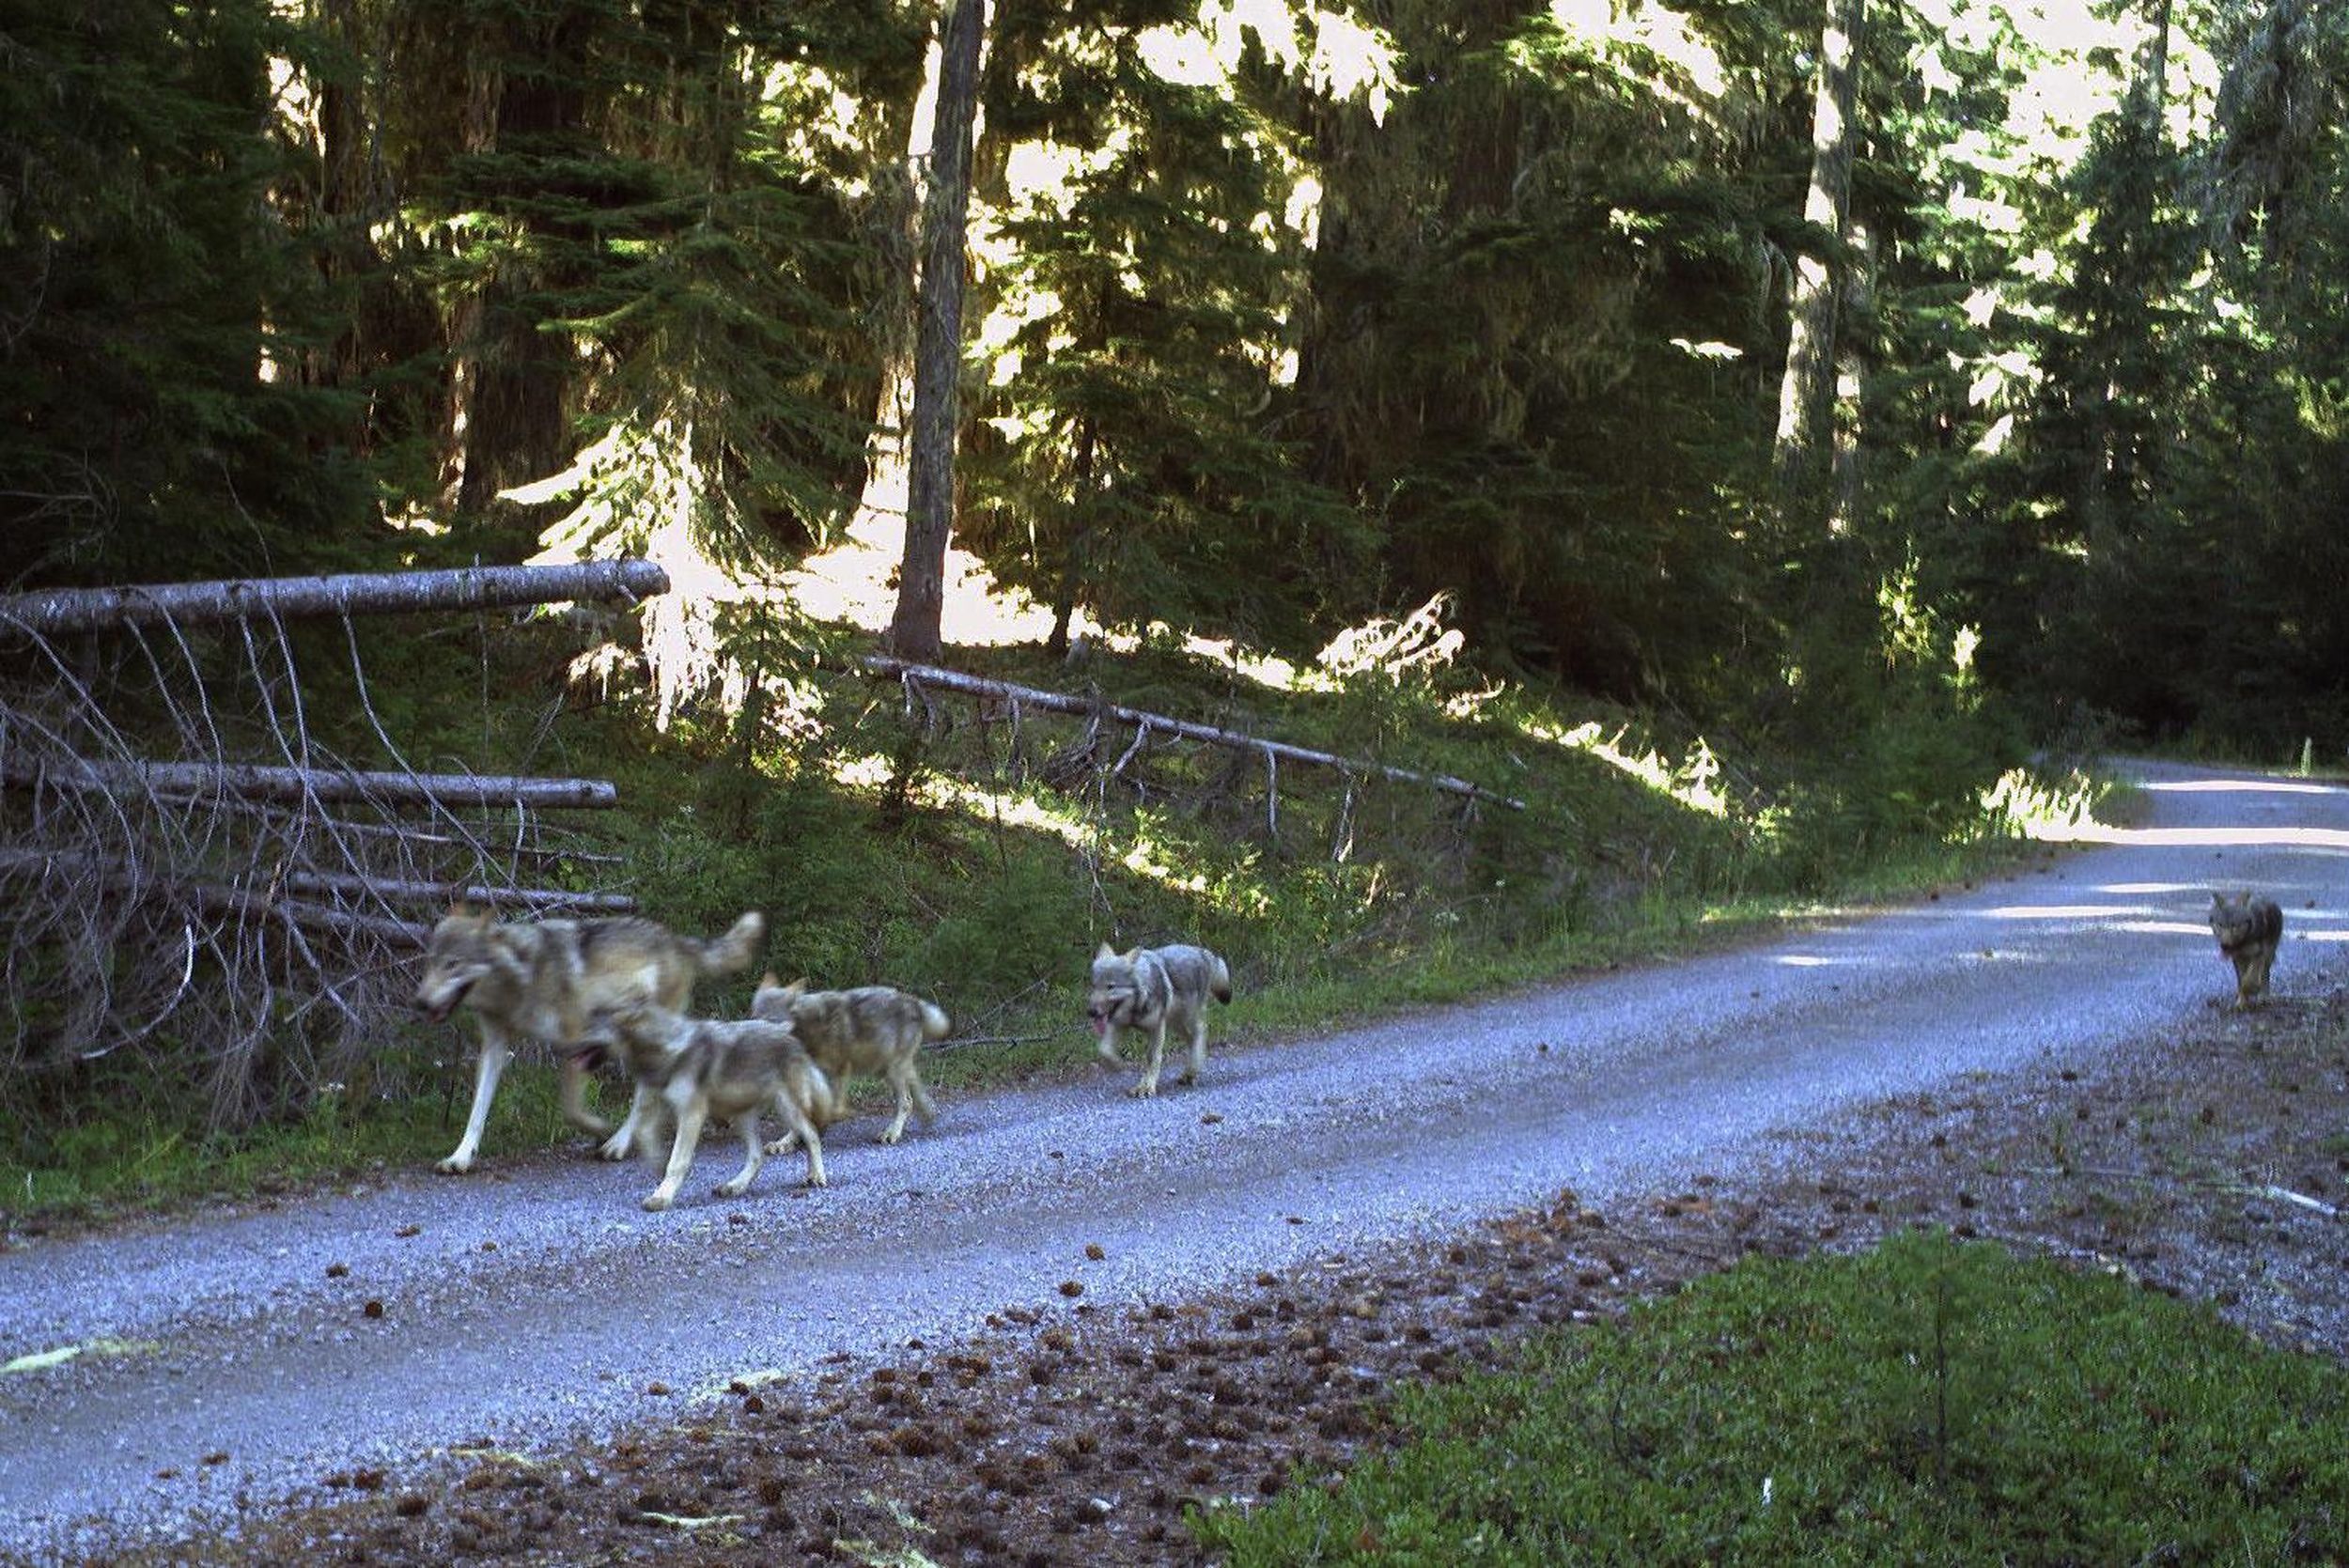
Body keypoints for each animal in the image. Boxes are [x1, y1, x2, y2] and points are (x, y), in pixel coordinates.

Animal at [412, 904, 765, 1174]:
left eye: (453, 964)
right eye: (430, 962)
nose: (420, 1003)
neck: (521, 978)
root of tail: (677, 941)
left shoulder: (572, 1038)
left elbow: (572, 1109)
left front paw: (599, 1128)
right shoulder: (496, 1047)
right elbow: (477, 1112)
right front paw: (460, 1157)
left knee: (644, 1096)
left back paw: (618, 1143)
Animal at [593, 997, 832, 1211]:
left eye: (590, 1026)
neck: (666, 1050)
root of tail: (788, 1033)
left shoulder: (691, 1114)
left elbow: (677, 1161)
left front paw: (661, 1197)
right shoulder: (658, 1104)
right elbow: (642, 1131)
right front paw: (656, 1163)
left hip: (786, 1109)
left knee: (811, 1133)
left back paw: (816, 1176)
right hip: (741, 1118)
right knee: (758, 1156)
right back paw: (734, 1186)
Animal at [751, 975, 950, 1146]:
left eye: (771, 1020)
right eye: (755, 1016)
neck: (807, 1029)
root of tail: (913, 1001)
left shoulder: (839, 1070)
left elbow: (831, 1110)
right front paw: (785, 1143)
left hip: (892, 1071)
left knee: (907, 1102)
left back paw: (892, 1133)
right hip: (888, 1069)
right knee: (919, 1093)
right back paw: (927, 1118)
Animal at [1087, 942, 1232, 1098]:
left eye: (1110, 987)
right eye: (1094, 986)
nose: (1091, 1012)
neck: (1138, 1004)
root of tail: (1203, 951)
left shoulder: (1157, 1028)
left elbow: (1152, 1058)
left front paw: (1147, 1087)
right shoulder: (1117, 1024)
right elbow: (1104, 1050)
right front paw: (1117, 1065)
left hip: (1187, 1018)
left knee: (1200, 1033)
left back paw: (1193, 1070)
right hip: (1176, 1024)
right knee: (1191, 1039)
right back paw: (1188, 1074)